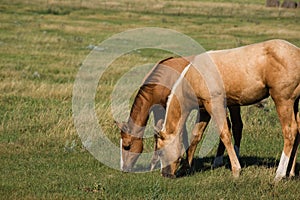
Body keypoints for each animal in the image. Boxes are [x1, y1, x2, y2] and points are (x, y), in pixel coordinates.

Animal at [115, 55, 244, 172]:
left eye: (127, 146)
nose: (123, 169)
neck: (162, 81)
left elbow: (183, 134)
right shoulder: (159, 111)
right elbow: (158, 134)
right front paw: (154, 164)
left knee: (235, 125)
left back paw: (226, 159)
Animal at [156, 39, 298, 180]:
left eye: (161, 152)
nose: (165, 174)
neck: (194, 76)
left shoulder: (215, 105)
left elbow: (225, 134)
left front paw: (236, 169)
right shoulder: (204, 111)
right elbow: (196, 135)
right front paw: (185, 167)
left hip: (283, 101)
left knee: (289, 133)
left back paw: (279, 174)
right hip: (294, 103)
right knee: (297, 131)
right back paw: (290, 172)